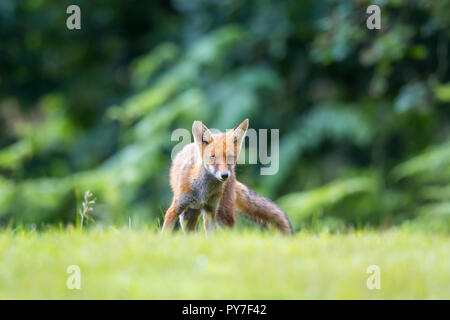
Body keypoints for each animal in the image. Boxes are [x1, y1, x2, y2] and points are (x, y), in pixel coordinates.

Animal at [161, 119, 292, 234]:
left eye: (229, 157)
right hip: (187, 216)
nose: (224, 175)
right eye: (213, 157)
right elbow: (165, 233)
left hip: (221, 214)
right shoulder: (175, 208)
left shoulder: (211, 210)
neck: (202, 192)